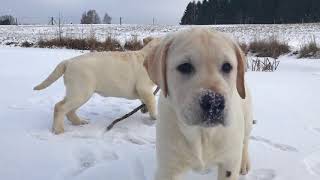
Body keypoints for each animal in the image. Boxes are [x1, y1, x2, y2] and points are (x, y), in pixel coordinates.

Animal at [144, 28, 252, 180]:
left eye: (227, 66)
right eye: (185, 67)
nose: (214, 102)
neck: (202, 134)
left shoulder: (229, 163)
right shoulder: (168, 169)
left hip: (247, 120)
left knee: (245, 141)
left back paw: (244, 162)